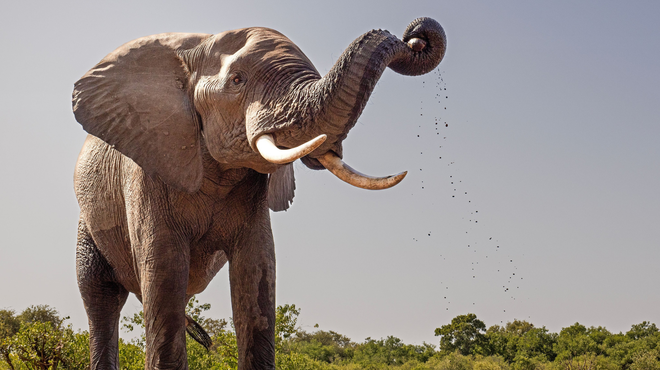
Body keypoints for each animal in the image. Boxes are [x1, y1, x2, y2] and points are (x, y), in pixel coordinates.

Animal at [72, 16, 448, 368]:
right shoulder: (148, 169)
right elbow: (163, 271)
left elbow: (256, 270)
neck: (195, 49)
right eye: (238, 80)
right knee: (101, 296)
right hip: (88, 223)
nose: (415, 38)